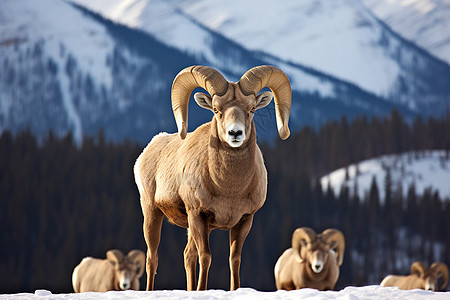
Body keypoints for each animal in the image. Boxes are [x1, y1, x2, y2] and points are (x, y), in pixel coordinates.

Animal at [134, 65, 294, 290]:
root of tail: (150, 148)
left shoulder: (244, 220)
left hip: (189, 226)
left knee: (188, 255)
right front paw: (201, 290)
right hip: (152, 212)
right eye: (217, 110)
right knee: (152, 258)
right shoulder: (198, 215)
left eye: (252, 109)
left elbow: (234, 259)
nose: (235, 133)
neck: (229, 188)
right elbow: (206, 257)